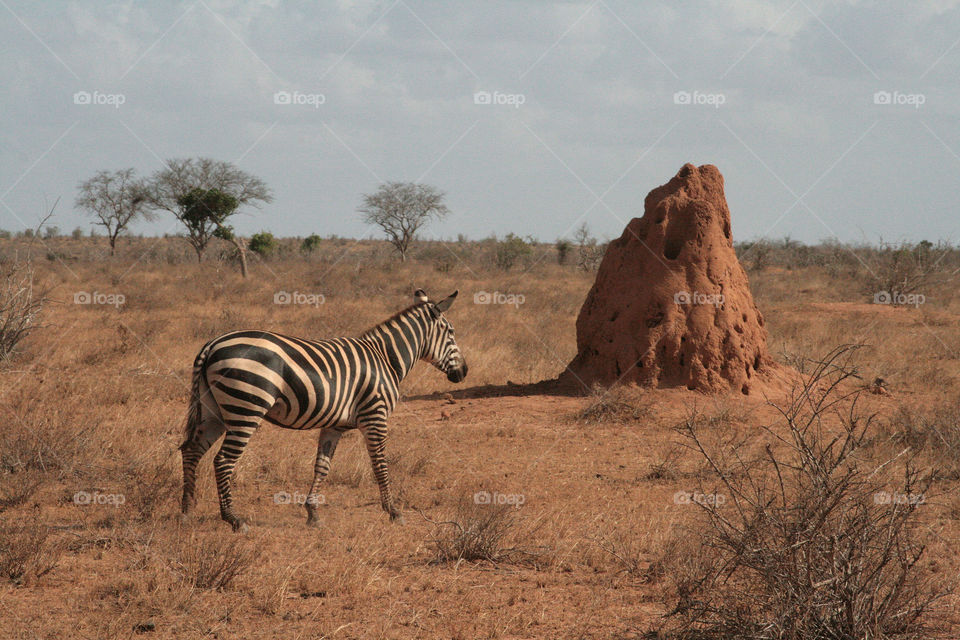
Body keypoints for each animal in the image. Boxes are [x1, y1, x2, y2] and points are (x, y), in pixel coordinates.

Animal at [179, 289, 467, 532]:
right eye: (451, 332)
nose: (464, 372)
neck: (385, 357)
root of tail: (212, 344)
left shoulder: (334, 426)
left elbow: (322, 466)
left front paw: (312, 513)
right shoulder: (375, 416)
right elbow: (380, 464)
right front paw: (393, 511)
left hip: (213, 411)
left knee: (191, 450)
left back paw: (187, 510)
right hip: (245, 408)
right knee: (223, 461)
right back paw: (233, 519)